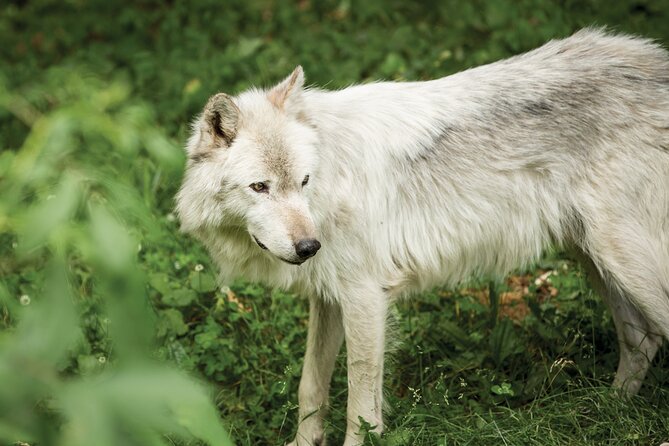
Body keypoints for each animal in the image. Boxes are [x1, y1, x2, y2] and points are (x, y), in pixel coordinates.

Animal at [174, 29, 668, 444]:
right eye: (260, 187)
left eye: (303, 181)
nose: (309, 247)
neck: (331, 176)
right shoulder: (328, 297)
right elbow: (310, 386)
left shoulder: (365, 298)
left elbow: (360, 407)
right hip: (596, 259)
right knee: (641, 339)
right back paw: (611, 411)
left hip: (622, 260)